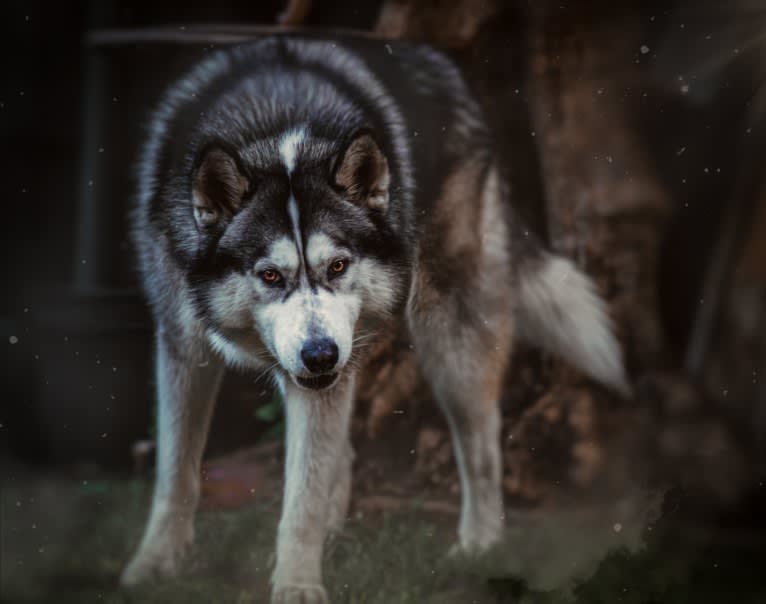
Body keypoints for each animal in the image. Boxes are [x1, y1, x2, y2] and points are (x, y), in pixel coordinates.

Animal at [121, 35, 632, 600]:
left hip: (447, 341)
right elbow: (176, 473)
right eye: (270, 275)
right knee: (343, 450)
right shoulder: (183, 348)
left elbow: (301, 498)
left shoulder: (320, 377)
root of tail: (444, 65)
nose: (320, 355)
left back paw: (478, 546)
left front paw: (297, 585)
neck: (282, 136)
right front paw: (154, 564)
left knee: (481, 443)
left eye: (338, 266)